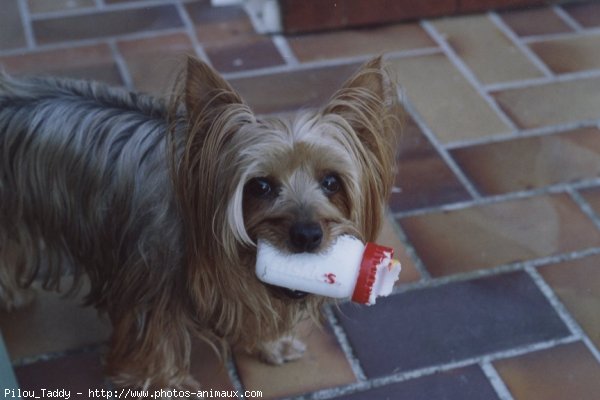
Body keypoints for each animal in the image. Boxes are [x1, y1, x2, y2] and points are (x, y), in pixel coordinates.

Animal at [0, 56, 398, 390]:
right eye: (260, 186)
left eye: (331, 182)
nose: (307, 234)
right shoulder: (149, 285)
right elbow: (154, 345)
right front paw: (162, 384)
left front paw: (272, 343)